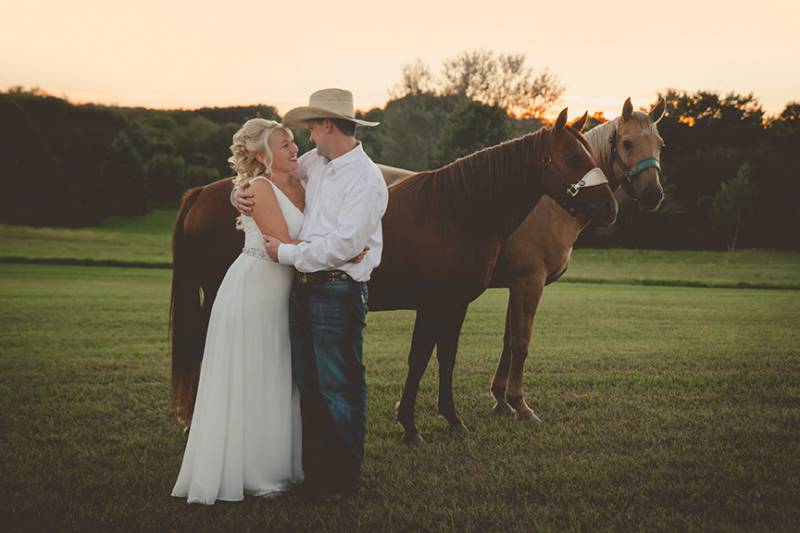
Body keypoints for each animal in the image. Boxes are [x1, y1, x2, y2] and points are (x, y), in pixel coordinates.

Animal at [378, 98, 664, 424]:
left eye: (660, 145)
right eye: (627, 143)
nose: (653, 193)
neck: (547, 205)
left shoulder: (515, 285)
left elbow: (508, 340)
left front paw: (501, 399)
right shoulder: (529, 283)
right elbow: (521, 342)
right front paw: (520, 404)